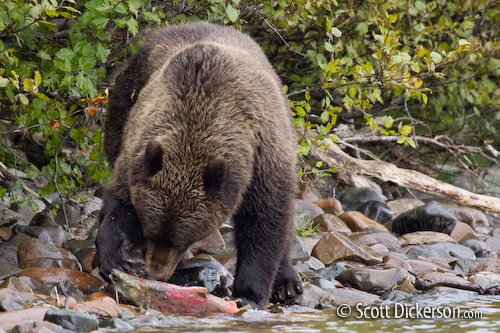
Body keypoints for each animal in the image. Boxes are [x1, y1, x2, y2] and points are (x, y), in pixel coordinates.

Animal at [95, 22, 302, 308]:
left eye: (182, 239)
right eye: (151, 230)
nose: (156, 272)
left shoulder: (264, 158)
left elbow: (265, 222)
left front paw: (249, 294)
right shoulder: (137, 149)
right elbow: (120, 202)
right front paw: (114, 255)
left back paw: (287, 283)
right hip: (127, 95)